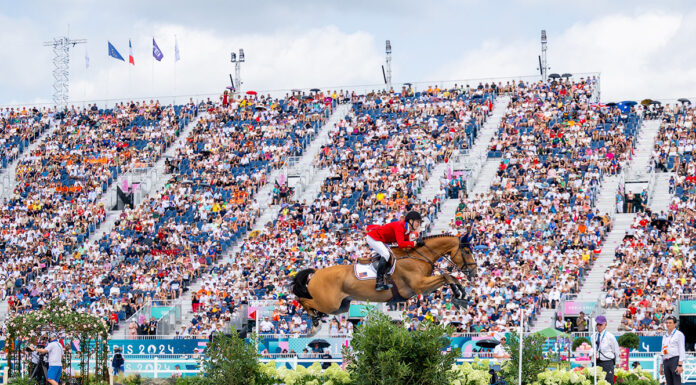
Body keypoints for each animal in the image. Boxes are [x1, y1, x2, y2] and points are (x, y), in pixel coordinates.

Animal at [290, 234, 478, 328]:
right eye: (467, 251)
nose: (474, 273)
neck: (418, 256)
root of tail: (316, 273)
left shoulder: (423, 287)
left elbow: (449, 277)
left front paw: (460, 297)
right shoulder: (419, 286)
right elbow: (447, 276)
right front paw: (460, 296)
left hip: (340, 306)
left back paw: (317, 316)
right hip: (329, 303)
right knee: (303, 300)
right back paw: (314, 318)